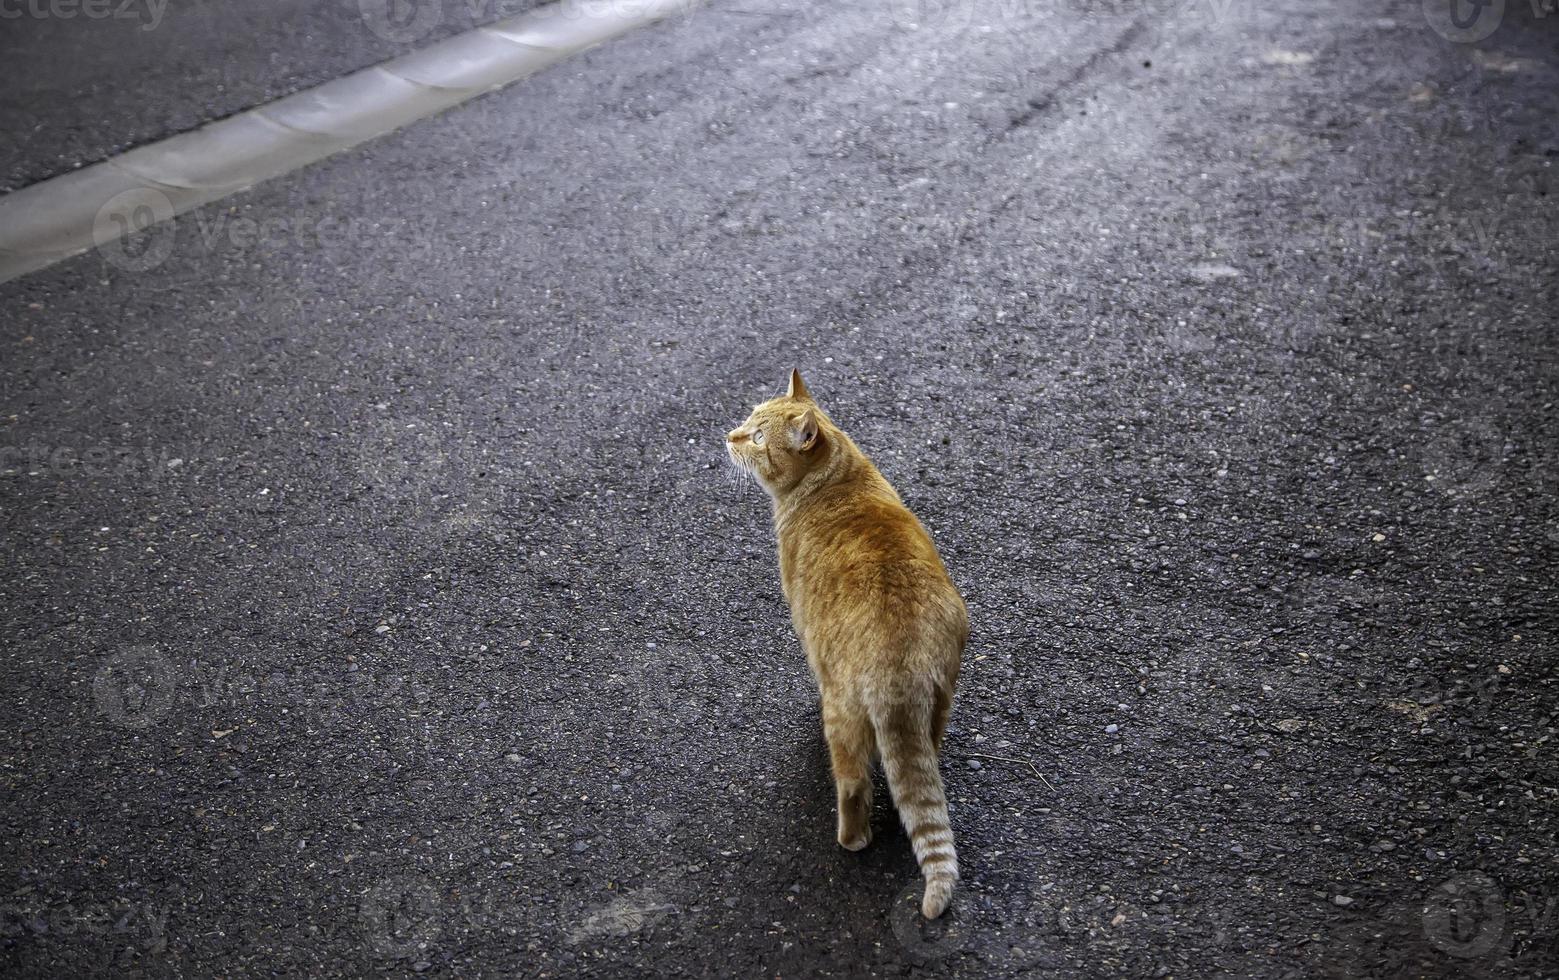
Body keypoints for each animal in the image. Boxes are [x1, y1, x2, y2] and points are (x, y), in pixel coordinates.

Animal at [726, 367, 960, 916]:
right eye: (748, 420)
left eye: (759, 437)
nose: (731, 436)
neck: (837, 479)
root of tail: (902, 666)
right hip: (940, 701)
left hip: (844, 715)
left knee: (853, 784)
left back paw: (852, 839)